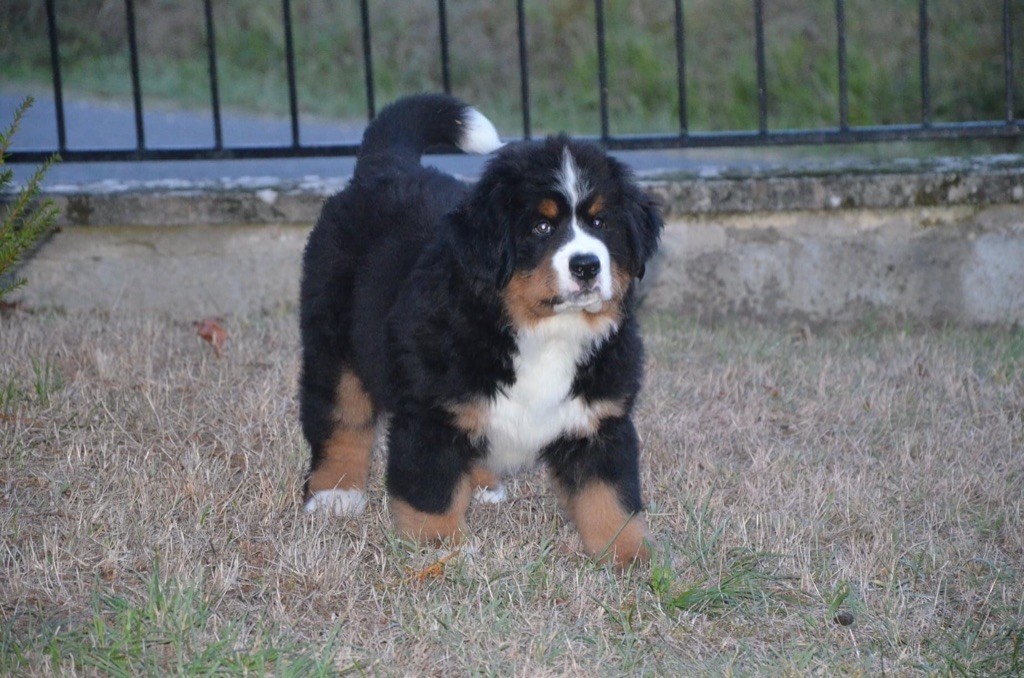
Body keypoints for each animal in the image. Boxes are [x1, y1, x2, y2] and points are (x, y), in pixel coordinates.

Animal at [299, 91, 659, 569]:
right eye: (542, 226)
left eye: (601, 223)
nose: (586, 265)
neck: (543, 332)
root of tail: (385, 167)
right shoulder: (431, 411)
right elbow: (431, 492)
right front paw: (439, 549)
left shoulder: (600, 419)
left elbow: (611, 498)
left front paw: (635, 559)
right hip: (333, 341)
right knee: (339, 416)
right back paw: (335, 493)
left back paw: (484, 484)